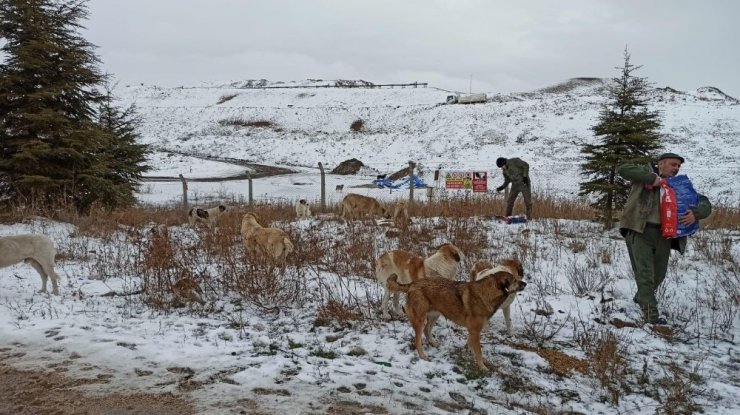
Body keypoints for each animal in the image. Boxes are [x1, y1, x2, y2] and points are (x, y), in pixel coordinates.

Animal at [388, 272, 528, 372]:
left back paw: (433, 343)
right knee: (418, 339)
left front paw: (470, 354)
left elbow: (471, 345)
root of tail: (412, 284)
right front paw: (482, 367)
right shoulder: (475, 331)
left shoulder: (473, 332)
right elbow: (479, 353)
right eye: (514, 280)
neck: (486, 293)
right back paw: (422, 355)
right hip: (420, 319)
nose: (525, 283)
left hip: (435, 315)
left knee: (427, 330)